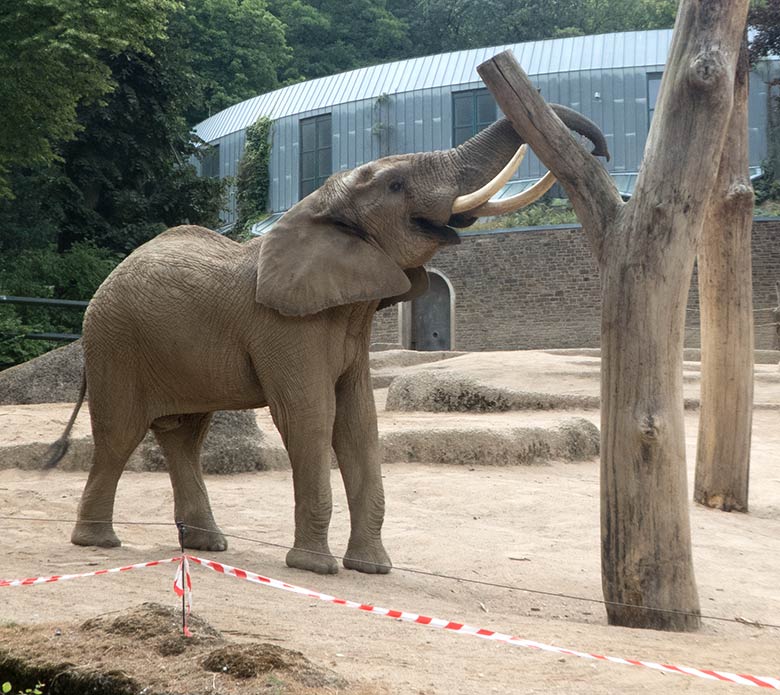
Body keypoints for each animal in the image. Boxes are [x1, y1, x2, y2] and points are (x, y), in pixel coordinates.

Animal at [47, 106, 608, 576]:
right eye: (396, 184)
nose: (599, 150)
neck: (317, 207)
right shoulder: (286, 325)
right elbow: (310, 417)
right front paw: (316, 568)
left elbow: (359, 423)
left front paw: (373, 570)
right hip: (115, 343)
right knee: (120, 434)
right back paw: (99, 543)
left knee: (185, 436)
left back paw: (209, 546)